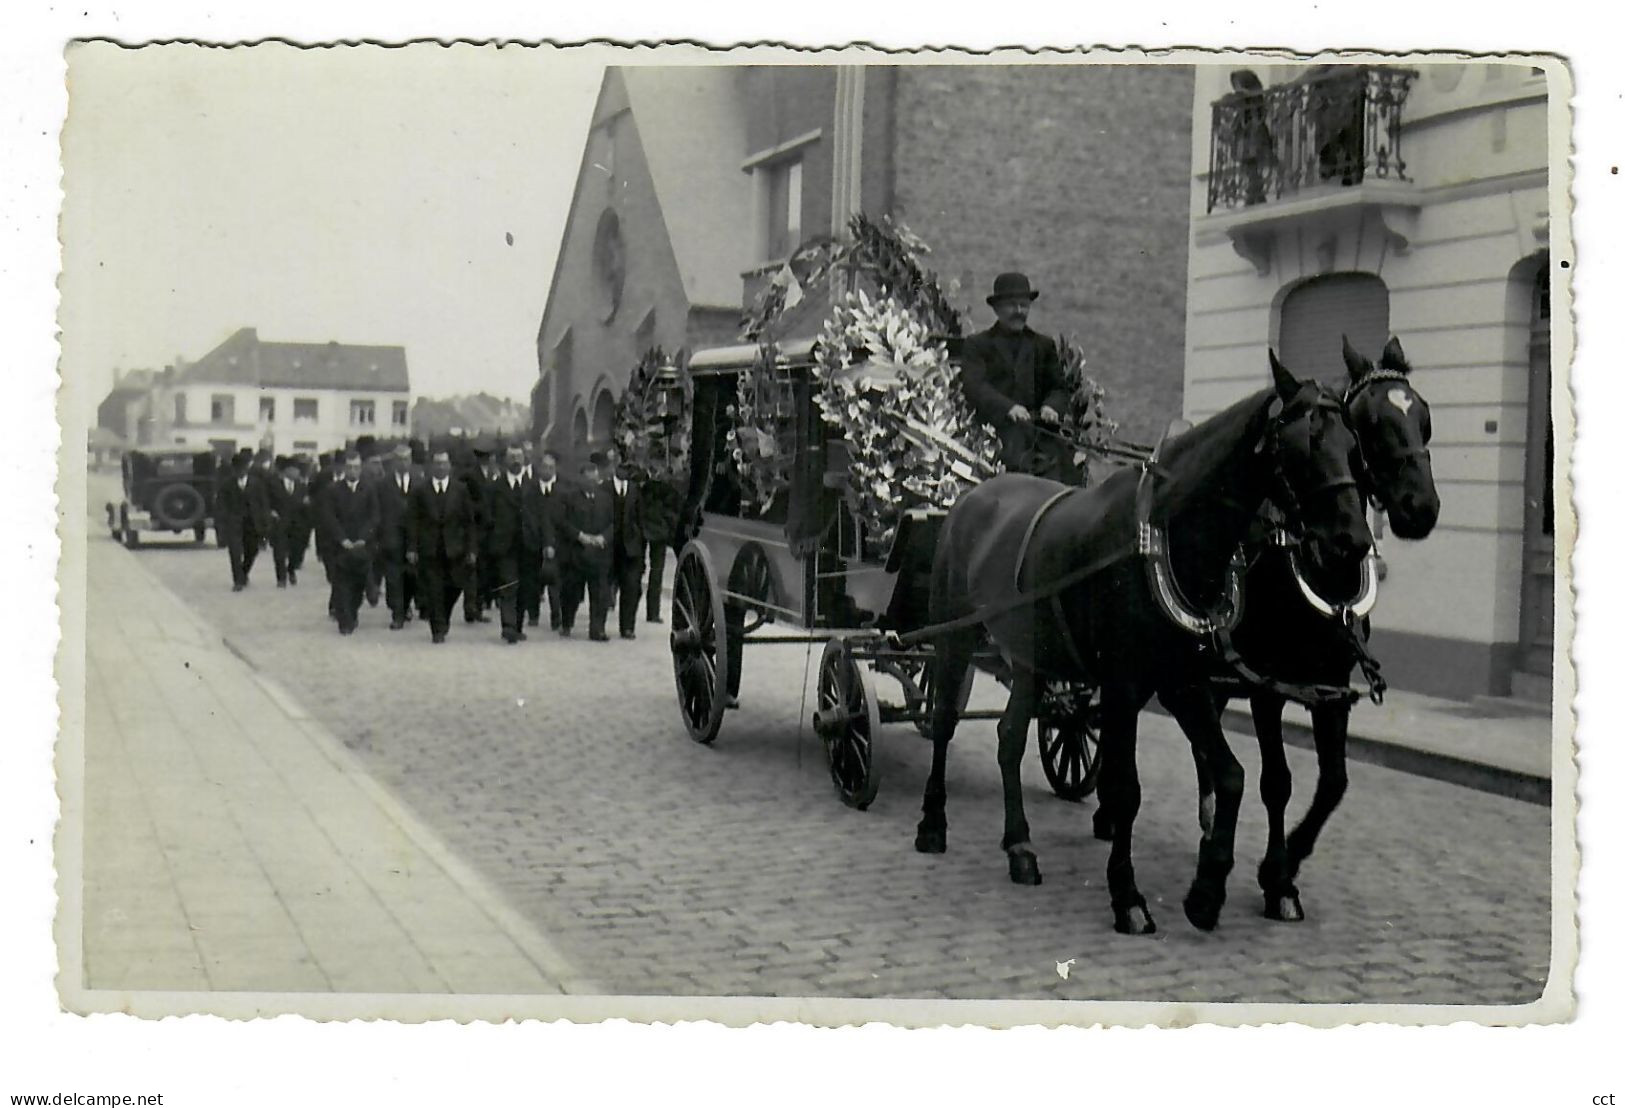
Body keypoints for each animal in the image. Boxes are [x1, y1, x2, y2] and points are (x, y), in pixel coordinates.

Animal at [916, 349, 1371, 929]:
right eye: (1304, 443)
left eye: (1354, 446)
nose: (1352, 540)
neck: (1164, 537)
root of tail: (973, 494)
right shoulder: (1125, 684)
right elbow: (1125, 788)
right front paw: (1128, 894)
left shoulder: (1183, 681)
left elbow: (1230, 775)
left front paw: (1207, 889)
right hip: (953, 637)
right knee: (944, 722)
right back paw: (933, 822)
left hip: (1031, 660)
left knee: (1010, 737)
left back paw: (1020, 846)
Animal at [1176, 333, 1443, 916]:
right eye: (1369, 422)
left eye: (1424, 417)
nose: (1420, 508)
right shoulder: (1268, 688)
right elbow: (1277, 781)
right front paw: (1275, 875)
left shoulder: (1331, 688)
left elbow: (1334, 783)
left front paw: (1286, 867)